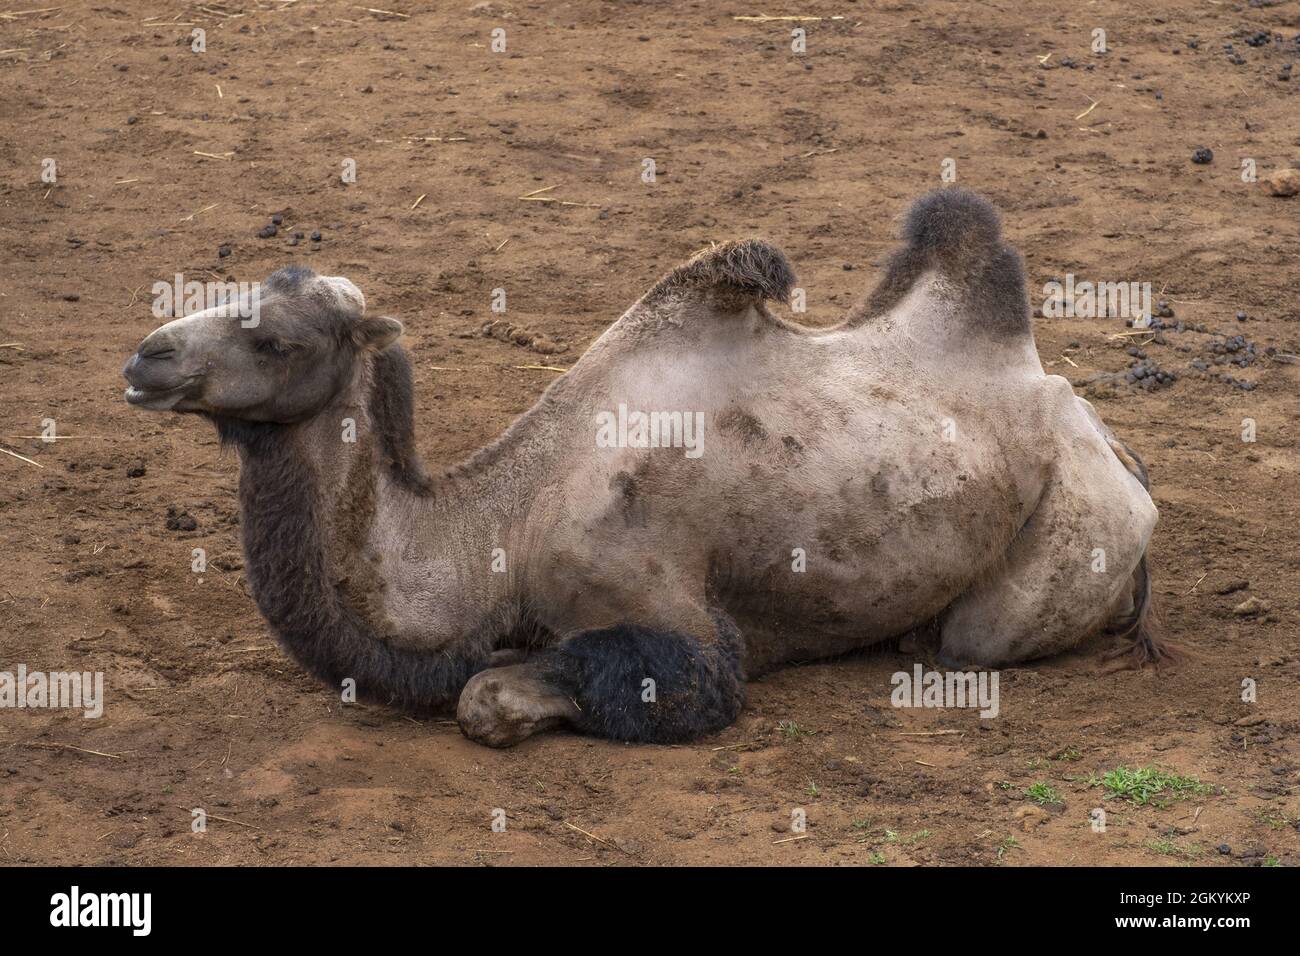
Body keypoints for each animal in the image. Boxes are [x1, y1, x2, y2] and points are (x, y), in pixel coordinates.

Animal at [122, 188, 1164, 747]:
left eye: (274, 339)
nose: (145, 360)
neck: (502, 532)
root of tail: (1090, 420)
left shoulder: (675, 626)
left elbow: (490, 697)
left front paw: (511, 691)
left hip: (1072, 537)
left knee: (978, 636)